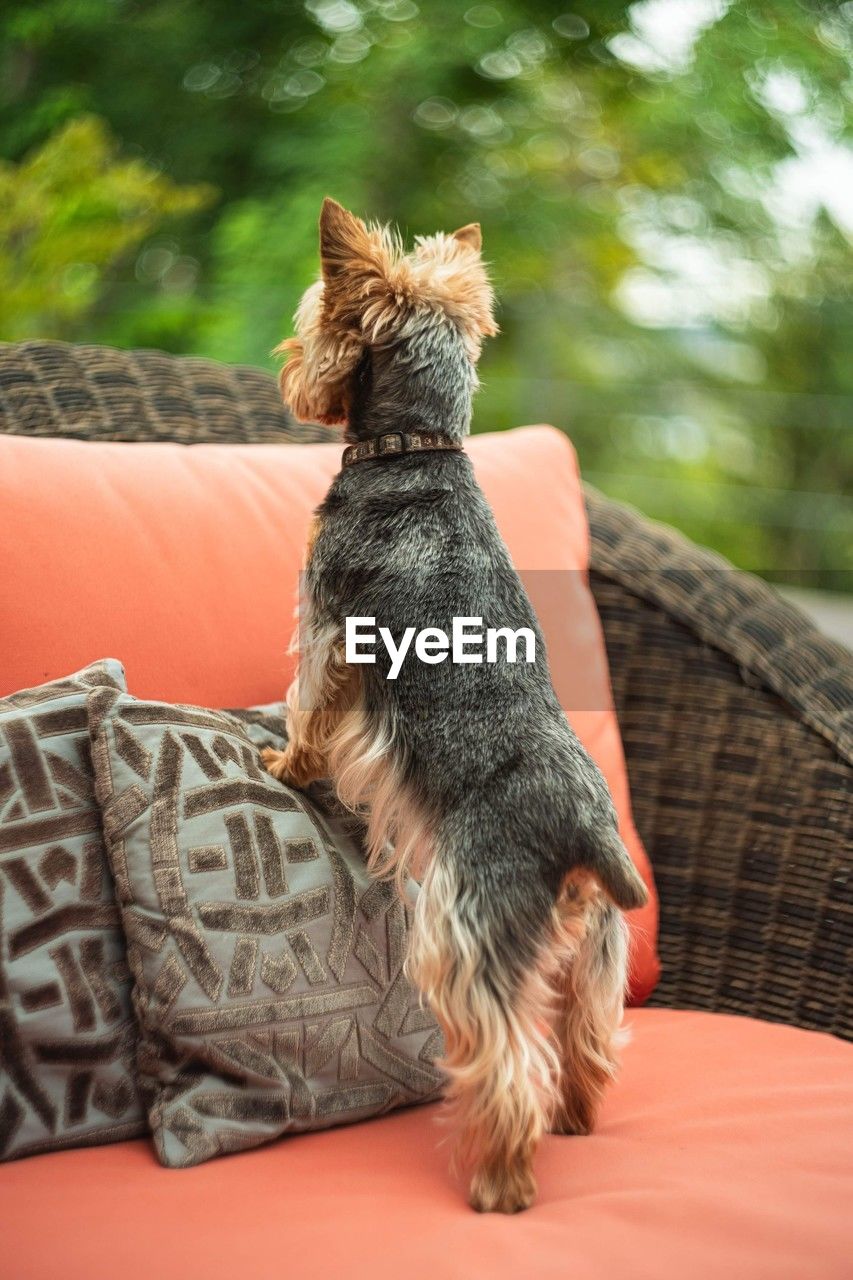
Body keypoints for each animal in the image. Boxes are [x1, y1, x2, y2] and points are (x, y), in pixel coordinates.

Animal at [262, 197, 648, 1208]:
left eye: (314, 317)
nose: (288, 362)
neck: (415, 448)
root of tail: (586, 834)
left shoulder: (329, 623)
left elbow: (309, 703)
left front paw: (284, 764)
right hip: (598, 945)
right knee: (587, 1039)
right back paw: (577, 1115)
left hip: (469, 924)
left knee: (506, 1057)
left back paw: (499, 1183)